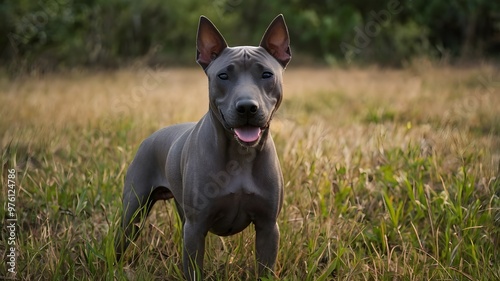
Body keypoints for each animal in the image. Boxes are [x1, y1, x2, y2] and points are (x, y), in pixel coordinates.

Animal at [115, 14, 292, 278]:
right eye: (223, 76)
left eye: (267, 75)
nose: (247, 107)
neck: (239, 155)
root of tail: (151, 137)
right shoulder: (196, 228)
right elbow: (193, 269)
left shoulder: (268, 228)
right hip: (133, 212)